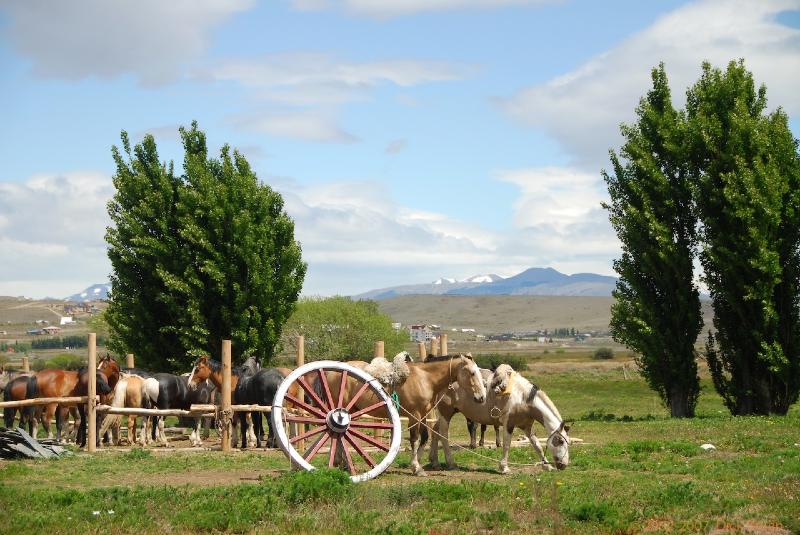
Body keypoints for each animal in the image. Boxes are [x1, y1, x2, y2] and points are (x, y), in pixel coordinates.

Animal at [320, 354, 488, 476]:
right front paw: (416, 468)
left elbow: (425, 437)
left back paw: (342, 463)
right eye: (472, 373)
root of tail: (331, 372)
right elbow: (415, 439)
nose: (482, 397)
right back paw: (344, 464)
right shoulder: (414, 415)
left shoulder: (424, 414)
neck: (425, 379)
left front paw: (416, 464)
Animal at [428, 364, 572, 474]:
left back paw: (434, 462)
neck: (522, 397)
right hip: (446, 413)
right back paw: (451, 463)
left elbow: (537, 445)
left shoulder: (527, 427)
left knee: (435, 431)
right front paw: (504, 468)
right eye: (560, 441)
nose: (563, 465)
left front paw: (547, 466)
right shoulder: (509, 424)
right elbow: (507, 445)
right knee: (443, 434)